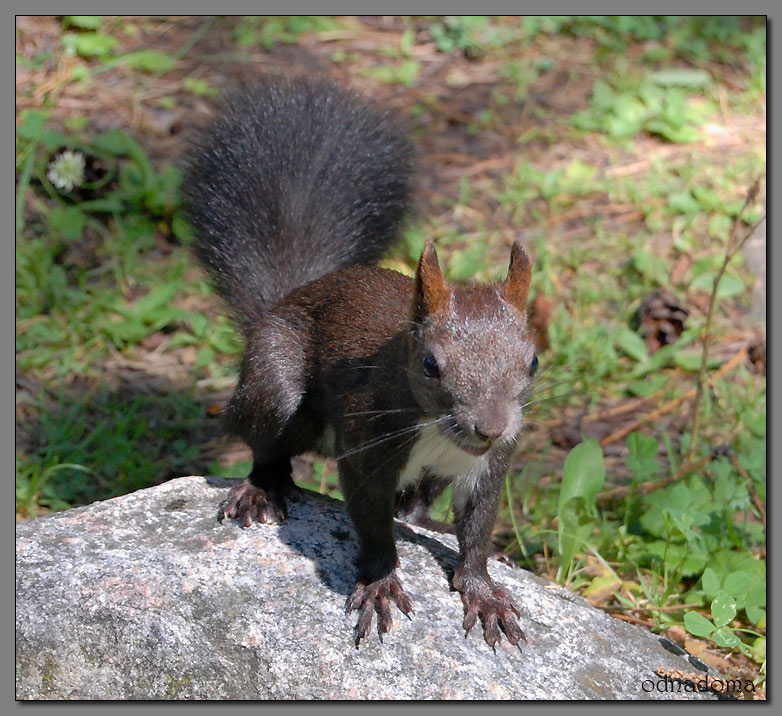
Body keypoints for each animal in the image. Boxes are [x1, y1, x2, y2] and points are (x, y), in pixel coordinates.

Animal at [182, 75, 538, 648]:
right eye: (431, 364)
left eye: (532, 362)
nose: (489, 426)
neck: (432, 427)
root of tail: (286, 299)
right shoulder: (366, 444)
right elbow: (371, 525)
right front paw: (380, 583)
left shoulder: (490, 465)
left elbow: (478, 528)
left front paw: (483, 590)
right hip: (276, 383)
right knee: (266, 442)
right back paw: (261, 488)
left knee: (413, 505)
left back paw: (432, 525)